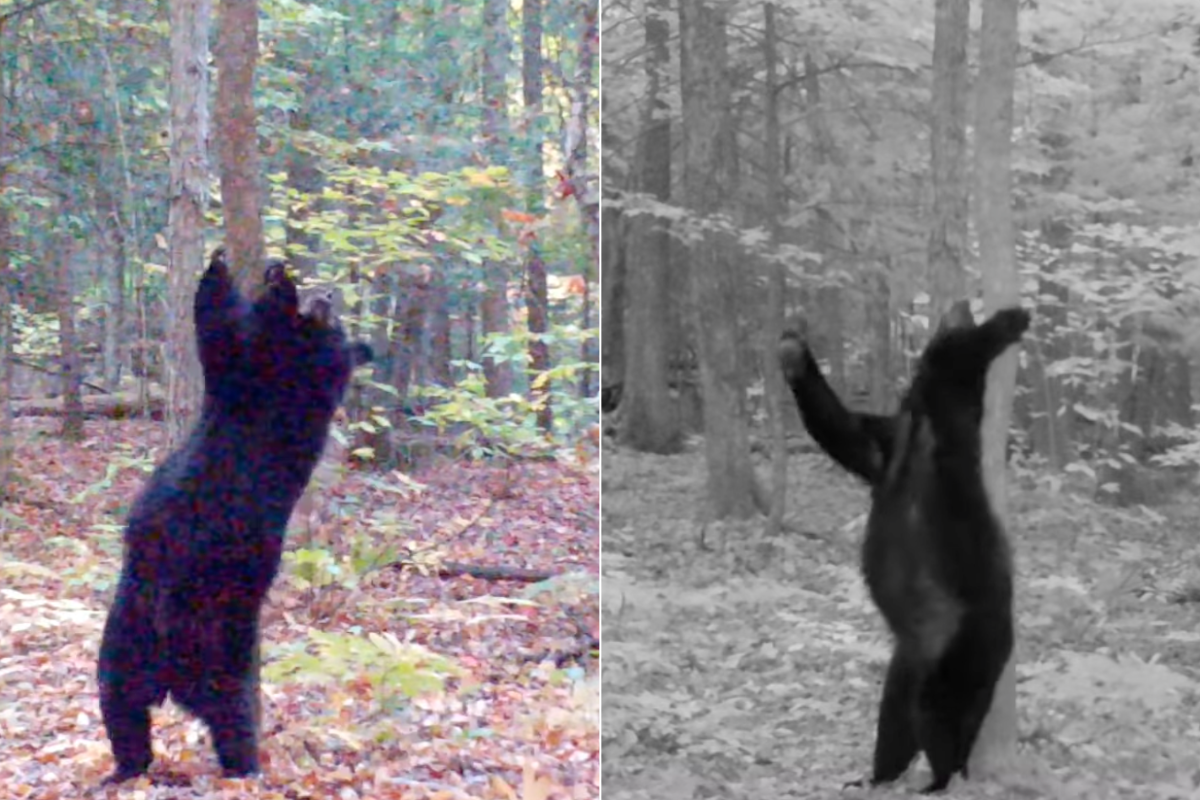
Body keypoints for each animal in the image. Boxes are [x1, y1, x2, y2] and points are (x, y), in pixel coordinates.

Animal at [97, 248, 369, 782]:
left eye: (340, 318)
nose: (327, 295)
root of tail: (171, 678)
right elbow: (224, 333)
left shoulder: (287, 383)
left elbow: (232, 333)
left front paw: (270, 281)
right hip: (125, 635)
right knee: (119, 702)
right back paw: (125, 768)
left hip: (221, 652)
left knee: (231, 716)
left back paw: (243, 768)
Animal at [777, 302, 1032, 796]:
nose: (959, 304)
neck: (921, 423)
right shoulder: (886, 445)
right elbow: (841, 431)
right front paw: (793, 352)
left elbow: (960, 356)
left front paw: (1010, 319)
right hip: (911, 664)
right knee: (896, 721)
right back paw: (877, 775)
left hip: (958, 653)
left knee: (939, 722)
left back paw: (937, 778)